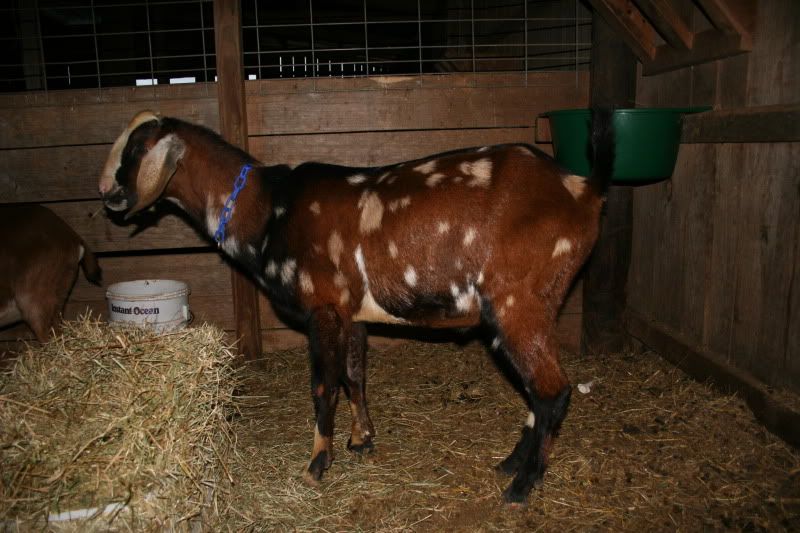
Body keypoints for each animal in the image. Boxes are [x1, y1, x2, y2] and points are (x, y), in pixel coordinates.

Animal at [98, 109, 614, 503]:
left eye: (135, 150)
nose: (108, 197)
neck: (268, 210)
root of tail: (585, 189)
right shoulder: (352, 312)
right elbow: (354, 376)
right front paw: (361, 439)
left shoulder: (323, 306)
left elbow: (323, 386)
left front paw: (316, 464)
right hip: (532, 305)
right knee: (537, 387)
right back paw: (510, 464)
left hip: (516, 301)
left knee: (553, 391)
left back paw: (522, 486)